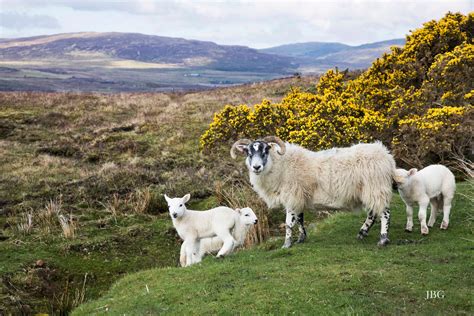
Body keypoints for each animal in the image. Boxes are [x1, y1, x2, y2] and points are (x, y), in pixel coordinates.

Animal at [231, 137, 396, 248]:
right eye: (248, 152)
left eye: (265, 150)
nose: (256, 167)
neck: (280, 166)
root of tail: (387, 156)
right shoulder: (299, 196)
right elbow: (300, 219)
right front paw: (301, 238)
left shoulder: (292, 196)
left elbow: (289, 223)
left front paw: (287, 244)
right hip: (371, 190)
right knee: (373, 213)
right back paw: (362, 232)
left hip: (376, 187)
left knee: (384, 213)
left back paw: (383, 239)